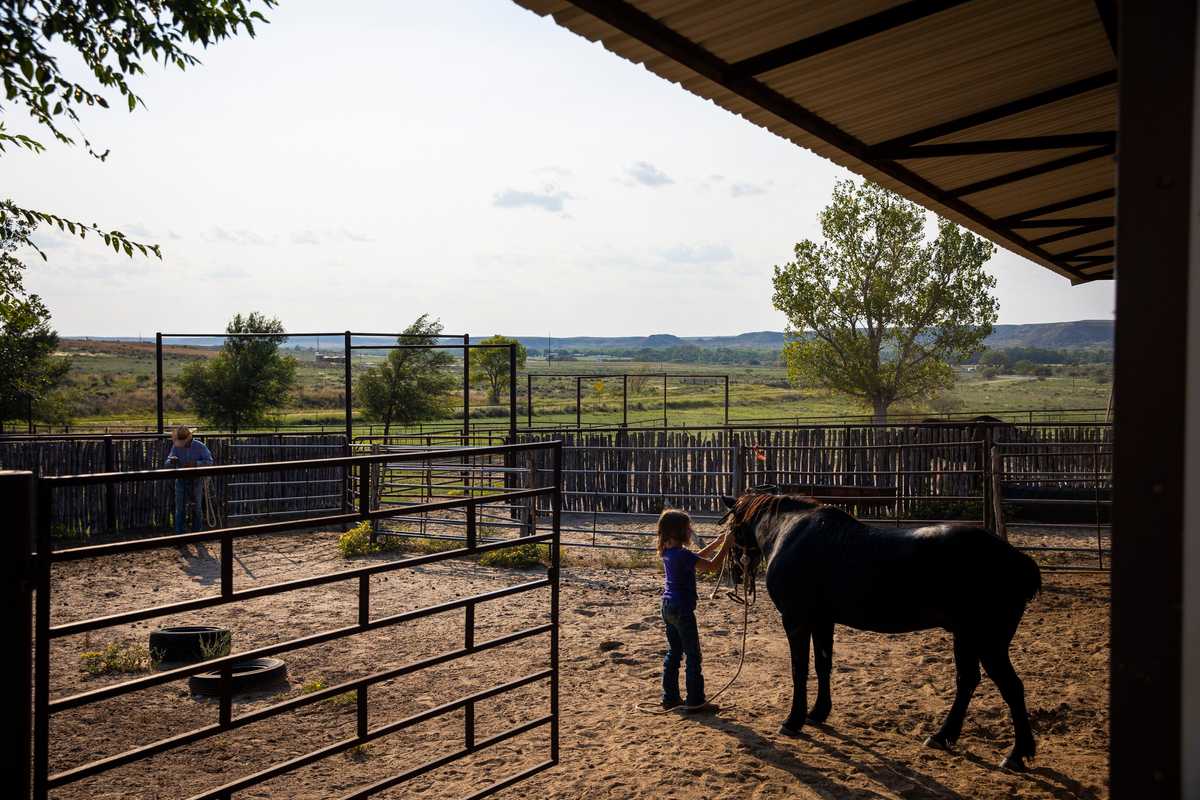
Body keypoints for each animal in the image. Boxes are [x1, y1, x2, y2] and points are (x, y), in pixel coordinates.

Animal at [720, 489, 1041, 767]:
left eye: (732, 527)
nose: (735, 572)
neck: (789, 531)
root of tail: (1017, 560)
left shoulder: (796, 620)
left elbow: (799, 669)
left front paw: (793, 720)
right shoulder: (822, 620)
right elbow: (823, 665)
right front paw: (818, 713)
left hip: (987, 642)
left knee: (1012, 688)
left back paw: (1016, 755)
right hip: (967, 637)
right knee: (968, 681)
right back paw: (942, 736)